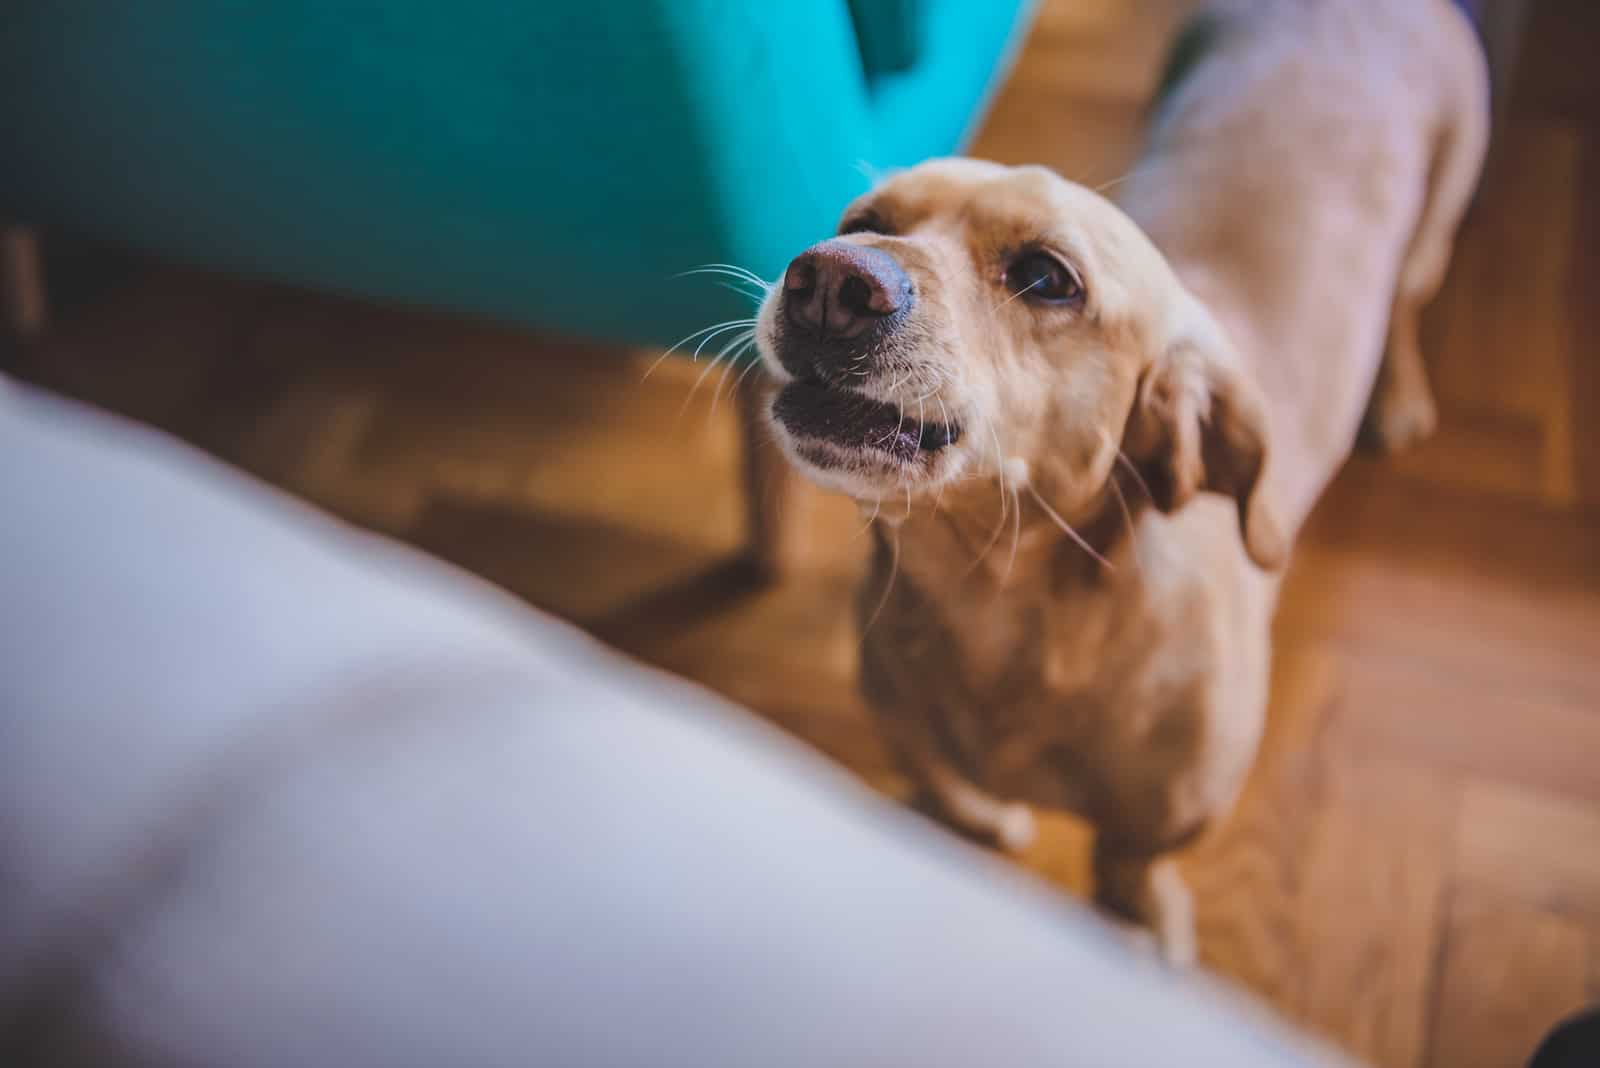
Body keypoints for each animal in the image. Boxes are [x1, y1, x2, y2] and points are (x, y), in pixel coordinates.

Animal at [748, 0, 1484, 965]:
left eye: (1046, 277)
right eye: (863, 216)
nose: (830, 278)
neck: (994, 604)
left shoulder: (1156, 833)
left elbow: (1135, 874)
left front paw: (1149, 935)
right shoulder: (917, 746)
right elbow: (953, 799)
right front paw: (980, 826)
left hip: (1436, 223)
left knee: (1404, 300)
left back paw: (1396, 397)